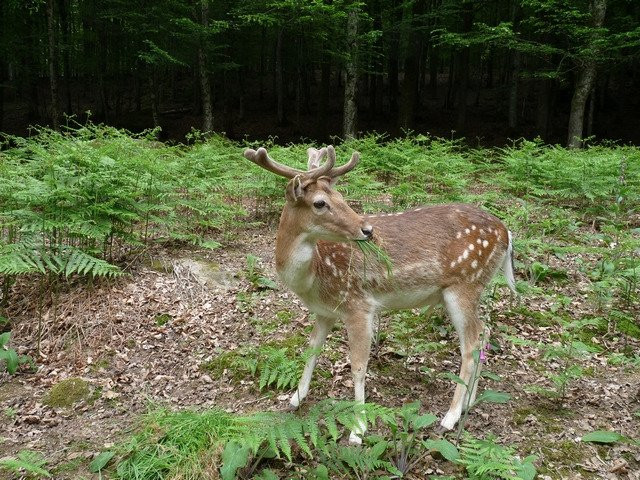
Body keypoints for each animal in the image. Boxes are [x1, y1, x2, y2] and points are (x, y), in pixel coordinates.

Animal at [242, 144, 516, 444]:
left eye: (340, 196)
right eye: (320, 203)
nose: (367, 229)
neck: (314, 276)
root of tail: (507, 233)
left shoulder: (358, 305)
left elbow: (358, 366)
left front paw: (358, 430)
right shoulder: (325, 311)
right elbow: (312, 349)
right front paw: (295, 398)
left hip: (464, 284)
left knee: (471, 343)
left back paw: (450, 417)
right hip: (472, 287)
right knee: (485, 332)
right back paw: (469, 401)